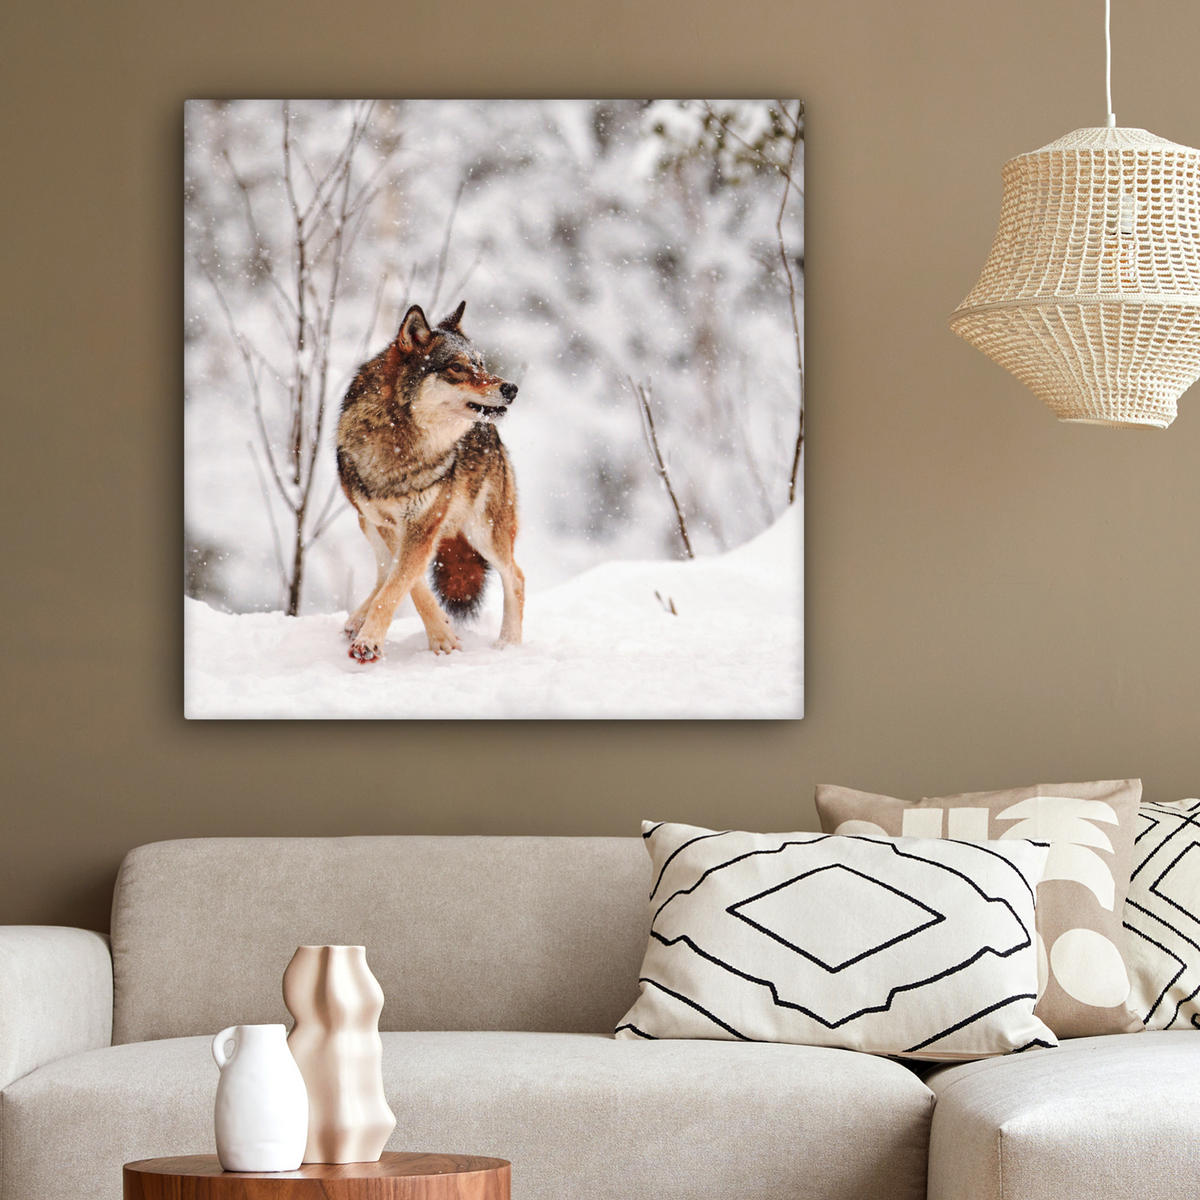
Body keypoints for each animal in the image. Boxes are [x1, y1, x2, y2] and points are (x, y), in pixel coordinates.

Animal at [336, 301, 523, 664]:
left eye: (481, 364)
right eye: (457, 367)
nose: (510, 388)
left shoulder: (422, 524)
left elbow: (400, 584)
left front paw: (372, 642)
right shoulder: (390, 524)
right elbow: (407, 583)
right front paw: (442, 634)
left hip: (484, 532)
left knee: (516, 577)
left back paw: (509, 644)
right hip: (366, 522)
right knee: (383, 571)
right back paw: (356, 620)